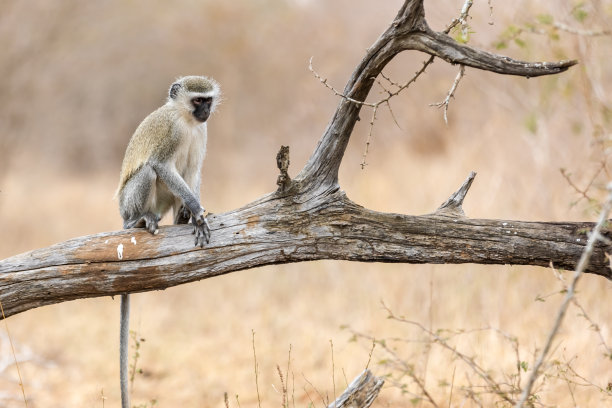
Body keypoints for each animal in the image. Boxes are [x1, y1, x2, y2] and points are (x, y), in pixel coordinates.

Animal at [115, 74, 220, 408]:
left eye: (208, 100)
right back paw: (138, 221)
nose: (206, 112)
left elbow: (194, 170)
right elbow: (161, 165)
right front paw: (197, 211)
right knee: (149, 170)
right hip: (129, 203)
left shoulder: (202, 132)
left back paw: (180, 219)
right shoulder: (171, 133)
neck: (186, 120)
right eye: (198, 100)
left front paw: (194, 213)